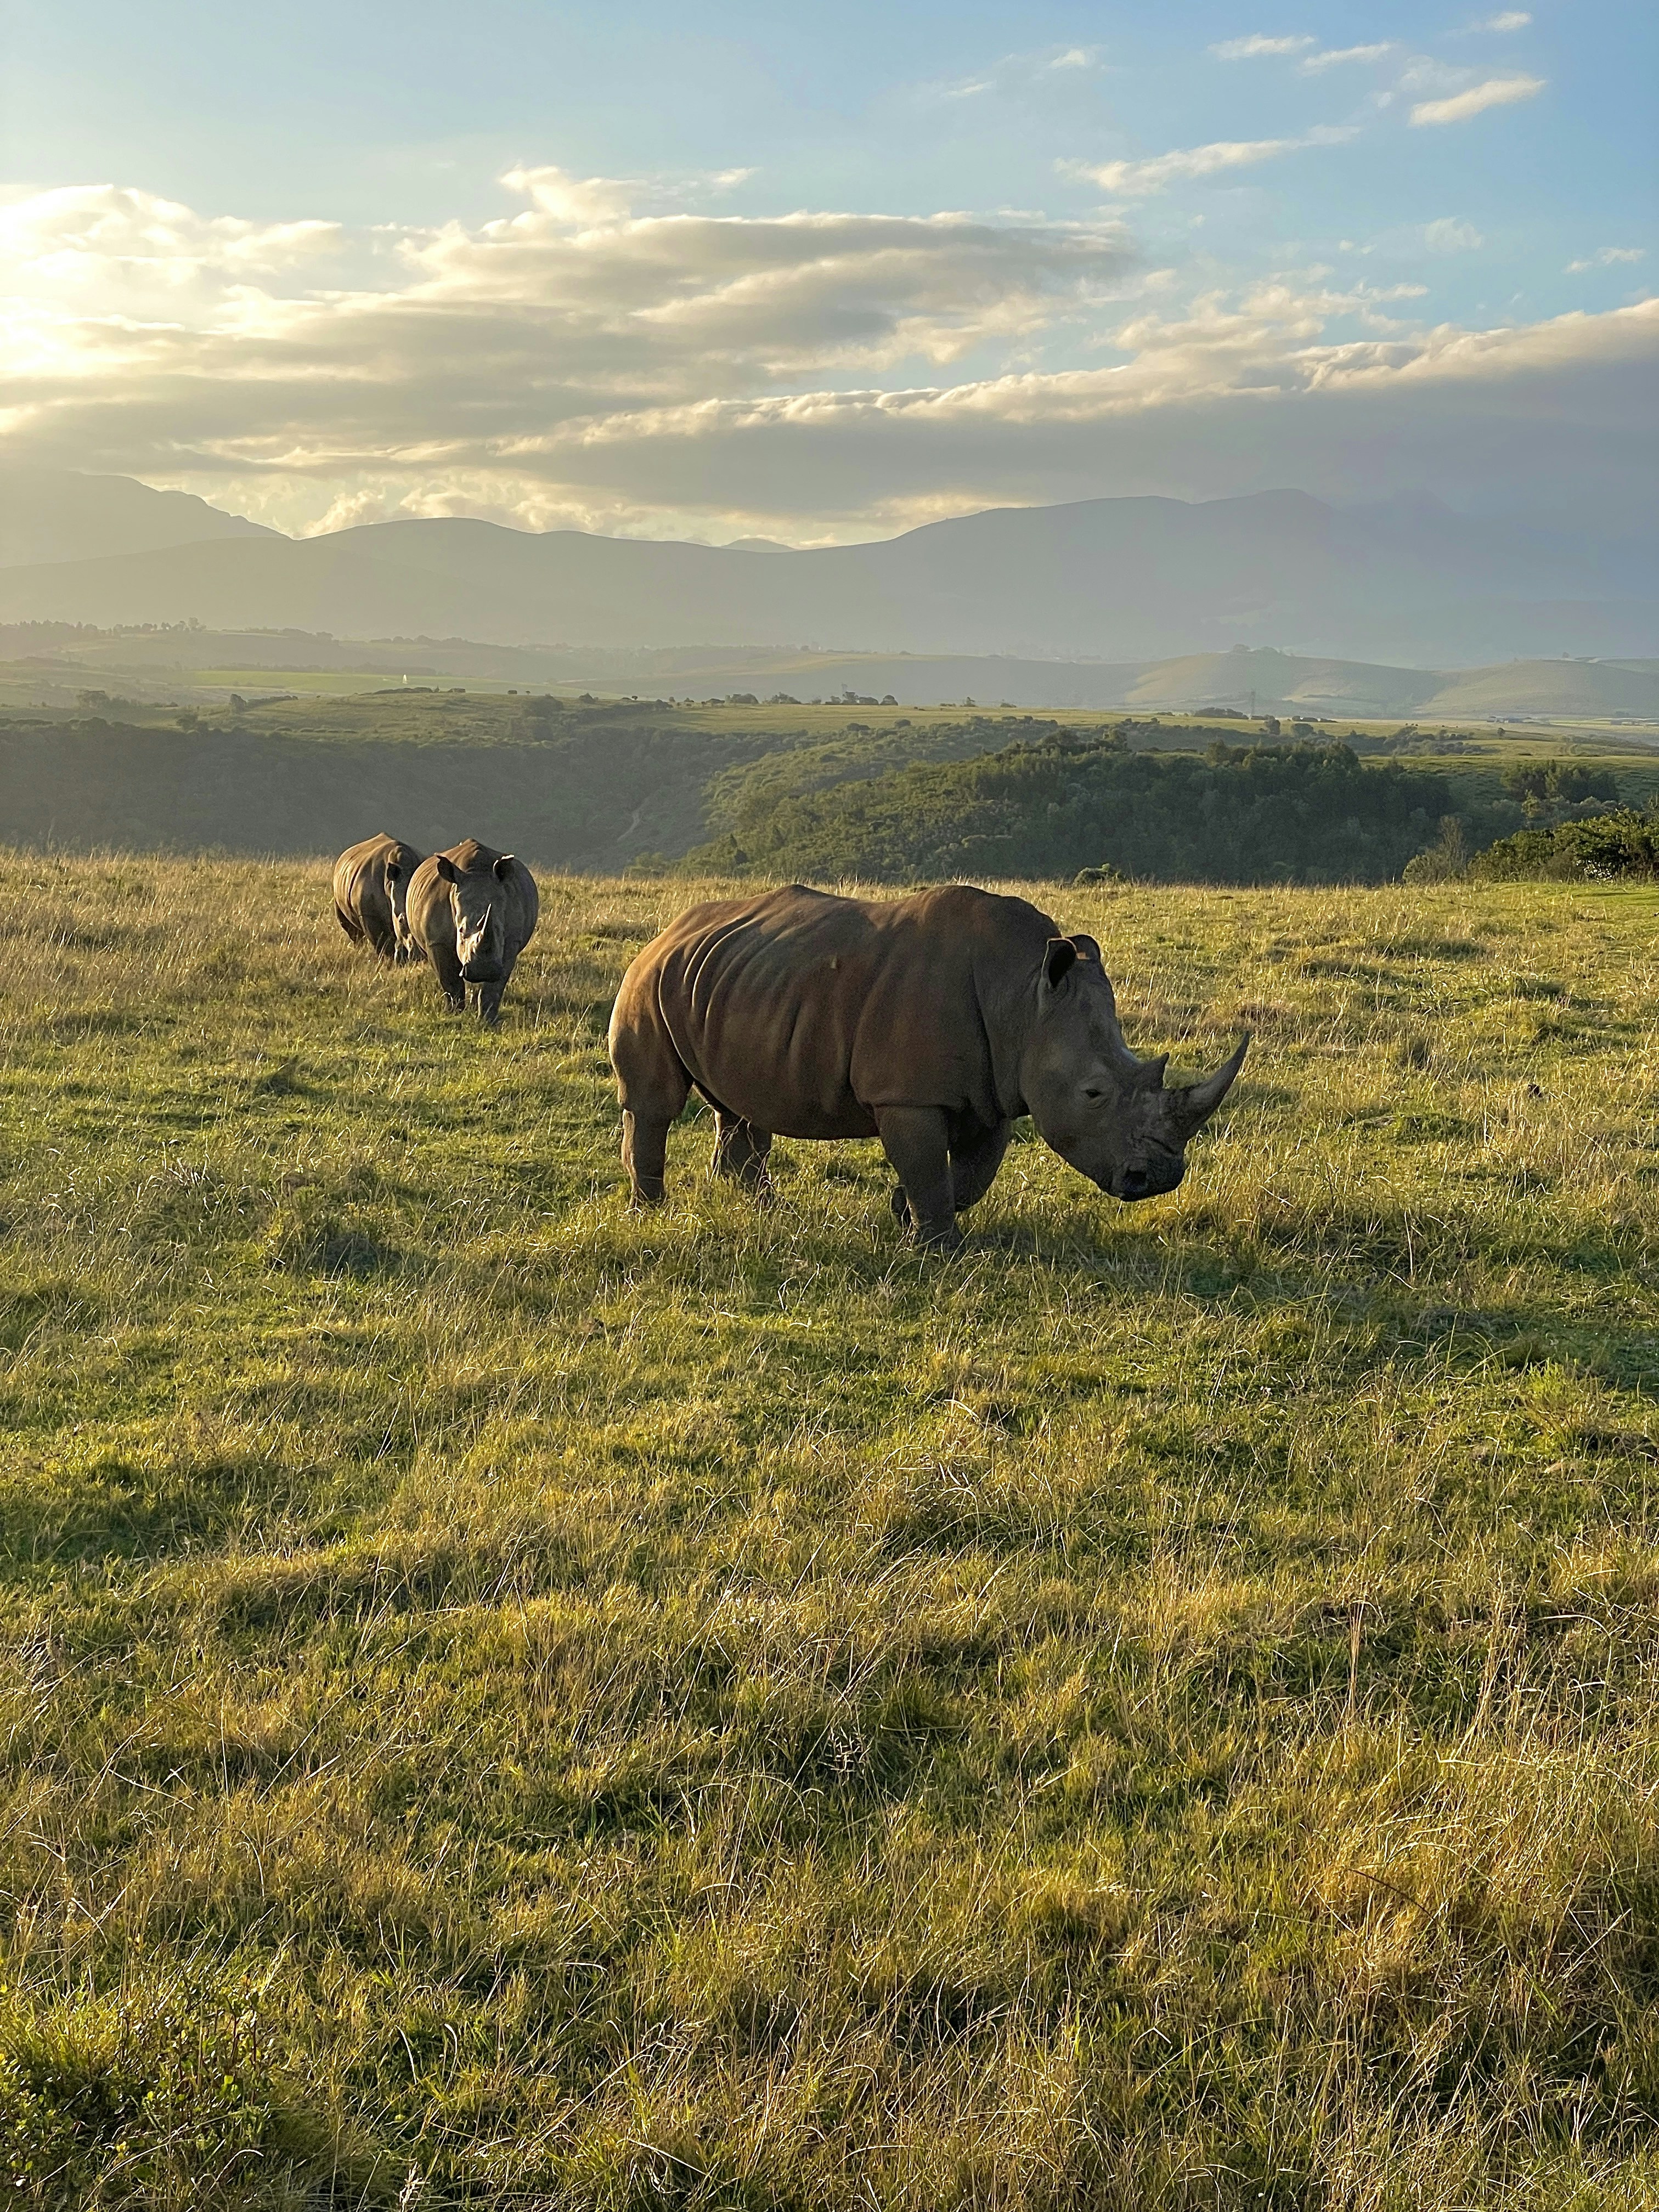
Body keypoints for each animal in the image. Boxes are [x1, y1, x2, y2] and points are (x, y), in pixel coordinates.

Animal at [333, 832, 425, 960]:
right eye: (401, 921)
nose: (420, 957)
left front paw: (401, 960)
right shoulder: (369, 914)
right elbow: (382, 942)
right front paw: (389, 961)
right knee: (352, 930)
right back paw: (358, 950)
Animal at [405, 839, 539, 1022]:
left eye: (501, 930)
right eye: (461, 930)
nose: (484, 970)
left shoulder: (511, 941)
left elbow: (495, 986)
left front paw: (487, 1019)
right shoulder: (436, 941)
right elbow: (450, 981)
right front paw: (454, 1014)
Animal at [608, 882, 1247, 1249]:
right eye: (1093, 1093)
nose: (1158, 1179)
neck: (1023, 996)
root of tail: (669, 930)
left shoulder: (997, 1090)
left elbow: (971, 1174)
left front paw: (902, 1212)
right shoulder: (907, 1095)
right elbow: (925, 1165)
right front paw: (939, 1249)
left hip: (735, 979)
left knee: (740, 1105)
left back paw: (767, 1210)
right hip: (649, 980)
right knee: (655, 1104)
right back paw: (653, 1215)